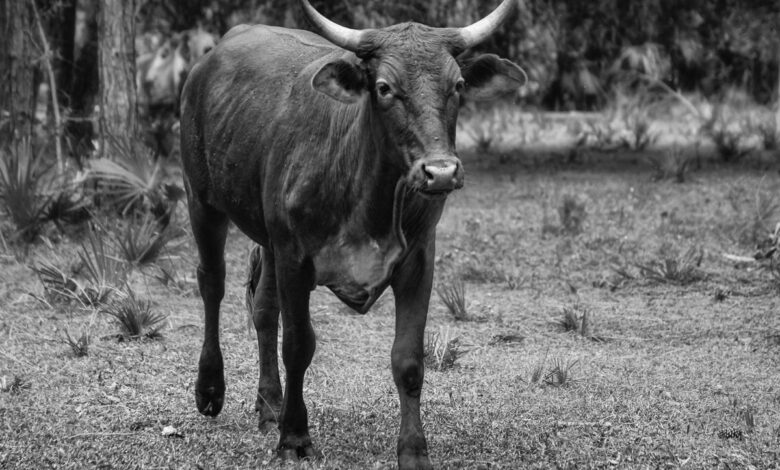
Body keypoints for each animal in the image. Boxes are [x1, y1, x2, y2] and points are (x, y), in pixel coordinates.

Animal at [180, 0, 525, 468]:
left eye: (457, 85)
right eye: (383, 87)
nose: (440, 172)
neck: (369, 202)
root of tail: (209, 60)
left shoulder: (418, 260)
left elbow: (408, 359)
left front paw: (413, 450)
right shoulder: (295, 259)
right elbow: (299, 346)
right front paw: (295, 437)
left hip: (267, 238)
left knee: (263, 309)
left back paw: (269, 406)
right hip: (201, 199)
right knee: (212, 284)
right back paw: (211, 390)